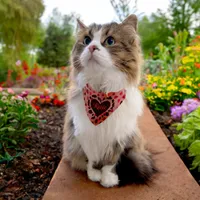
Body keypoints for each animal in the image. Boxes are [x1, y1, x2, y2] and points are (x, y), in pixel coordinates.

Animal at [61, 14, 155, 188]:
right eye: (86, 40)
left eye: (110, 41)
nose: (92, 47)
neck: (101, 91)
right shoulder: (84, 133)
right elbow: (91, 160)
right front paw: (93, 174)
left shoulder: (118, 135)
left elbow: (110, 162)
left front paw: (108, 178)